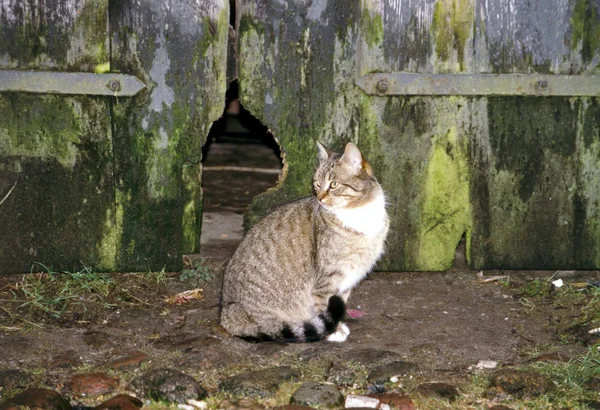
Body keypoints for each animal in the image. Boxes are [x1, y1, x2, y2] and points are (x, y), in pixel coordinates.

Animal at [220, 143, 390, 342]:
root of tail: (225, 313)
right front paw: (334, 330)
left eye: (334, 184)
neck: (358, 212)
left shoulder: (348, 278)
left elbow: (340, 301)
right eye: (317, 183)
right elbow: (326, 305)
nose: (320, 198)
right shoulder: (328, 279)